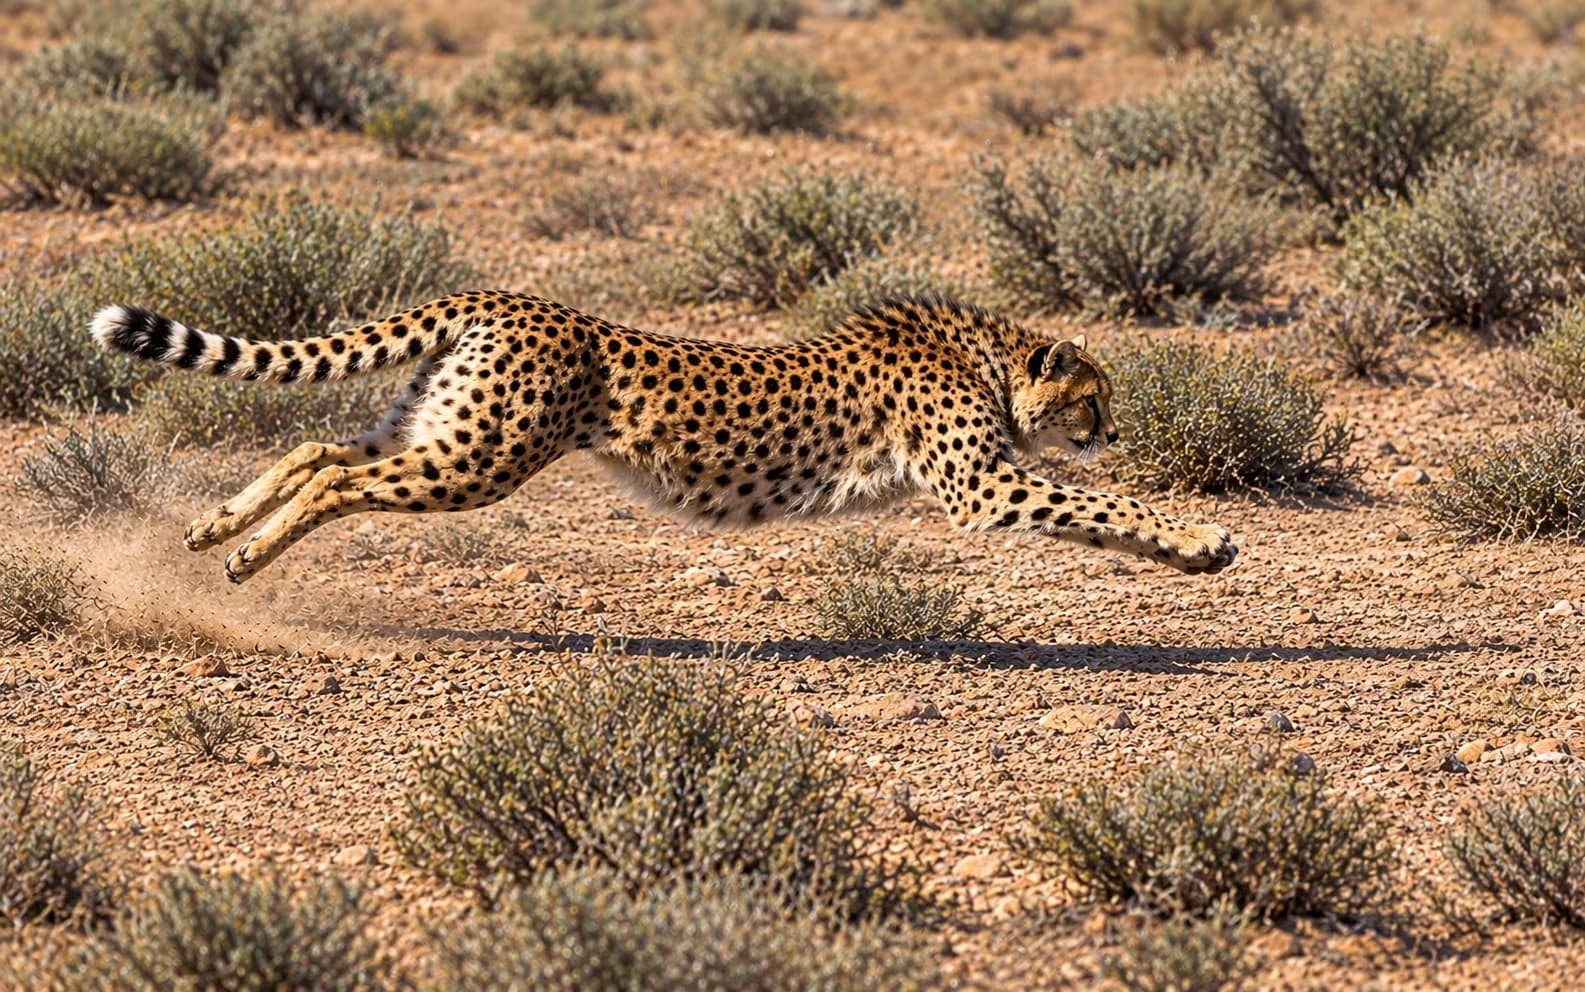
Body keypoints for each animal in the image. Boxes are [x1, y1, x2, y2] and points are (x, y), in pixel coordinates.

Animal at [91, 291, 1237, 584]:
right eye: (1091, 400)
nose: (1108, 429)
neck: (989, 354)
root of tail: (503, 295)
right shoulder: (985, 488)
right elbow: (1103, 503)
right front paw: (1203, 541)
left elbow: (1096, 507)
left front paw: (1193, 550)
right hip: (479, 457)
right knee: (335, 482)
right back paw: (245, 558)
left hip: (443, 427)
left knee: (319, 452)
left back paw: (214, 530)